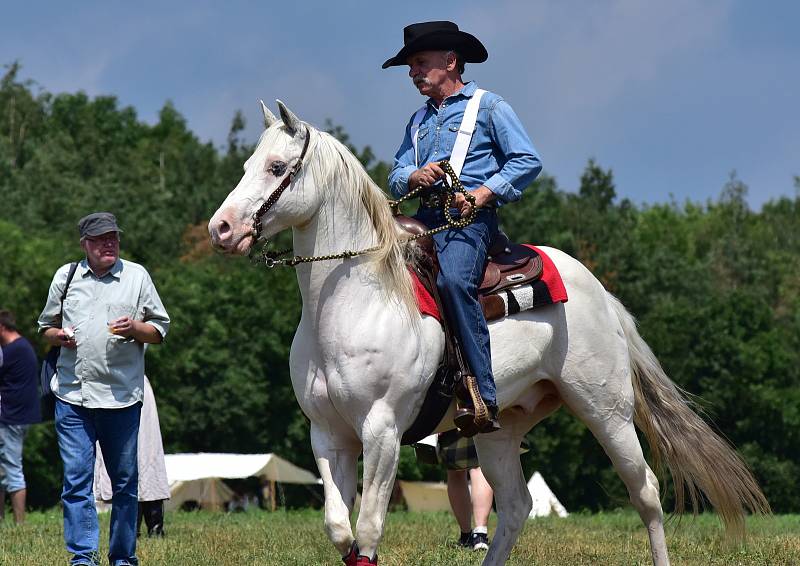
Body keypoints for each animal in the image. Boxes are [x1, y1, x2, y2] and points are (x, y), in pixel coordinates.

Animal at [211, 102, 768, 566]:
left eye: (277, 168)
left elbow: (367, 530)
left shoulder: (382, 429)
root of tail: (598, 291)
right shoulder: (328, 435)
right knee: (518, 506)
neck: (353, 303)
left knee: (646, 492)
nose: (221, 229)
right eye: (244, 166)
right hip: (501, 429)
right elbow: (339, 528)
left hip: (605, 410)